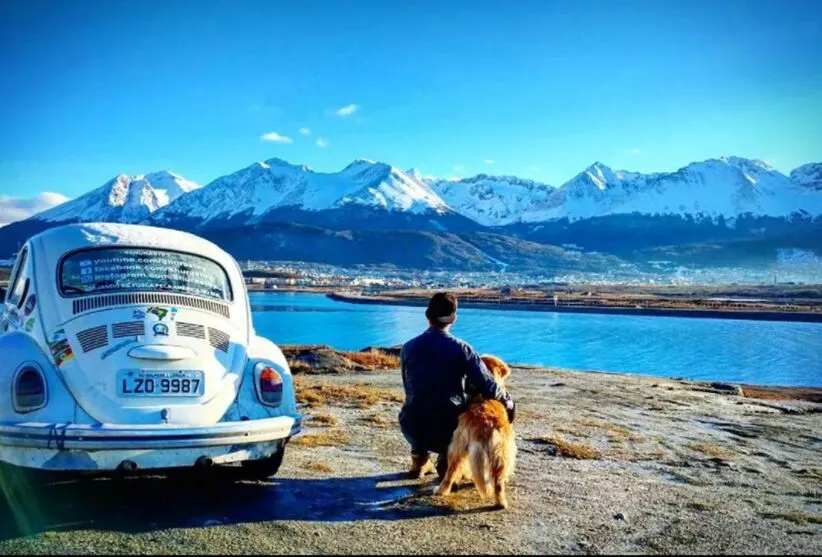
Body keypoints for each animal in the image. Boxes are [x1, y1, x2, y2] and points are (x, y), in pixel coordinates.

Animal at [434, 356, 520, 508]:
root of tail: (484, 421)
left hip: (459, 445)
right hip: (501, 451)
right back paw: (501, 502)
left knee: (451, 471)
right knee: (497, 481)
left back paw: (442, 490)